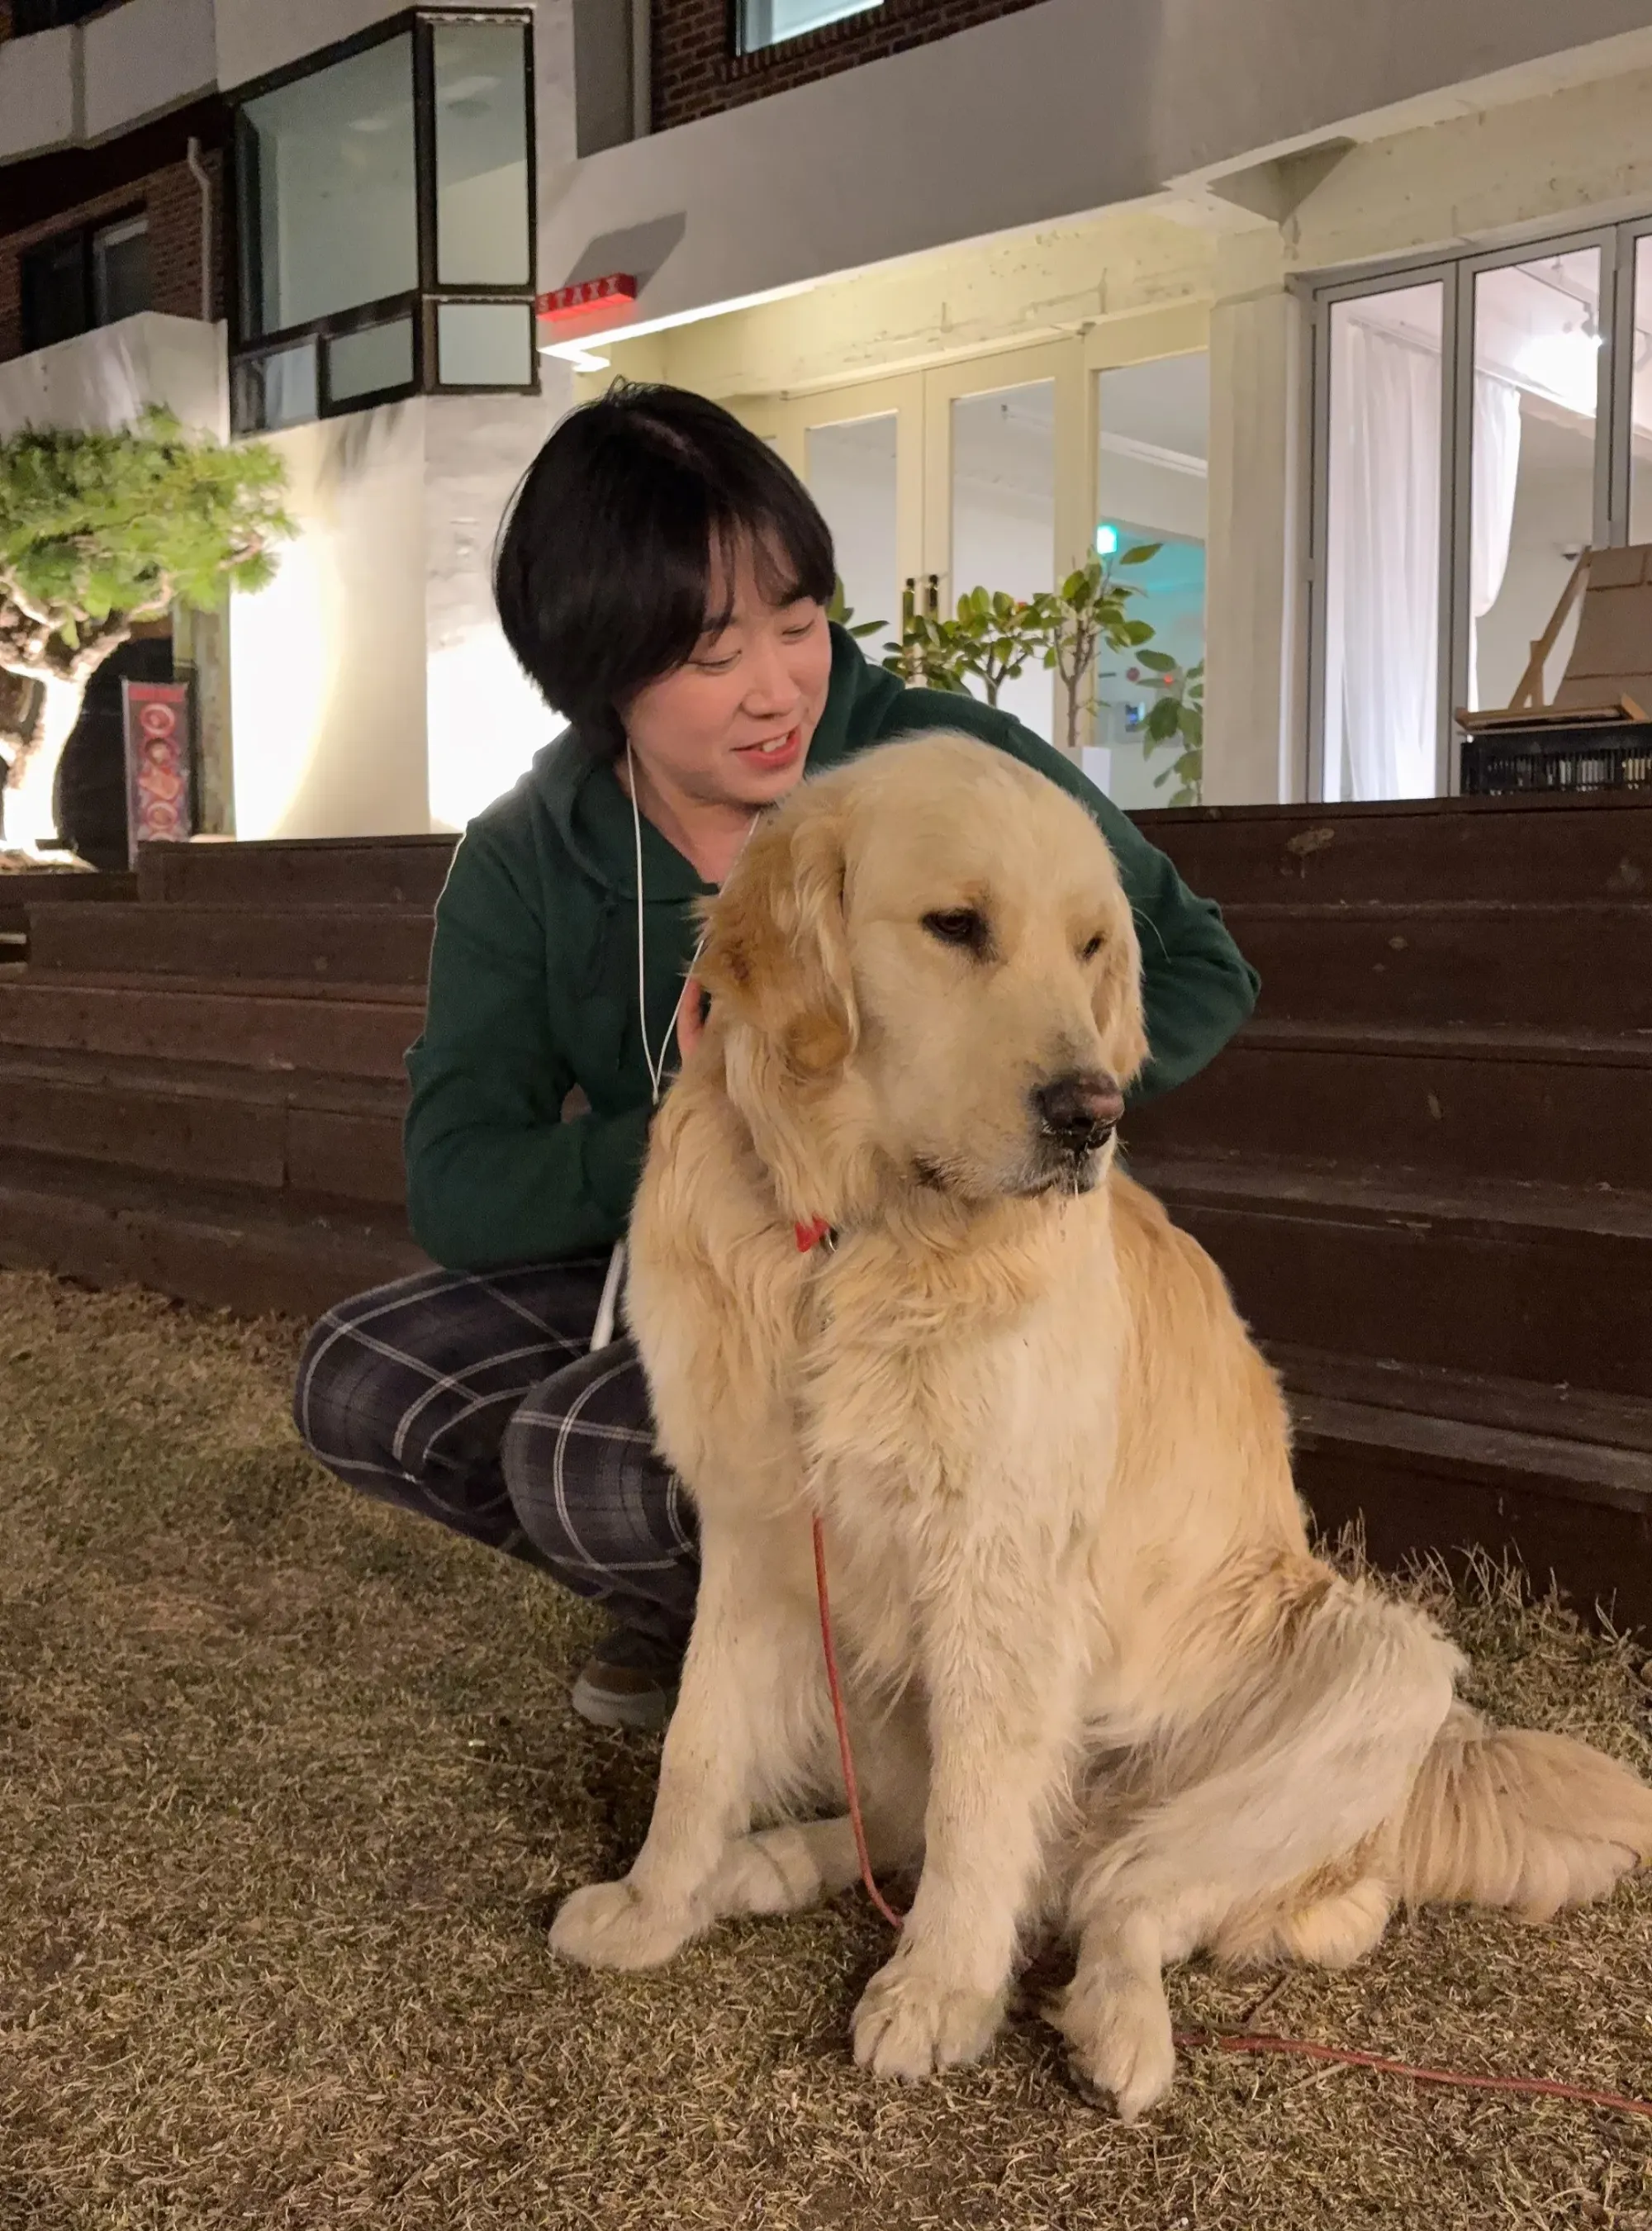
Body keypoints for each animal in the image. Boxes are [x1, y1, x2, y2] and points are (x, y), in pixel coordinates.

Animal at [550, 733, 1652, 2119]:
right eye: (955, 926)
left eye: (1089, 947)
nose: (1089, 1115)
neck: (855, 1243)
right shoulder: (755, 1529)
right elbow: (698, 1747)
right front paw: (655, 1904)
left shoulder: (1000, 1562)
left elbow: (978, 1816)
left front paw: (937, 1994)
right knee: (935, 1835)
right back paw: (765, 1866)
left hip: (1379, 1672)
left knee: (1132, 1896)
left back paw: (1118, 2027)